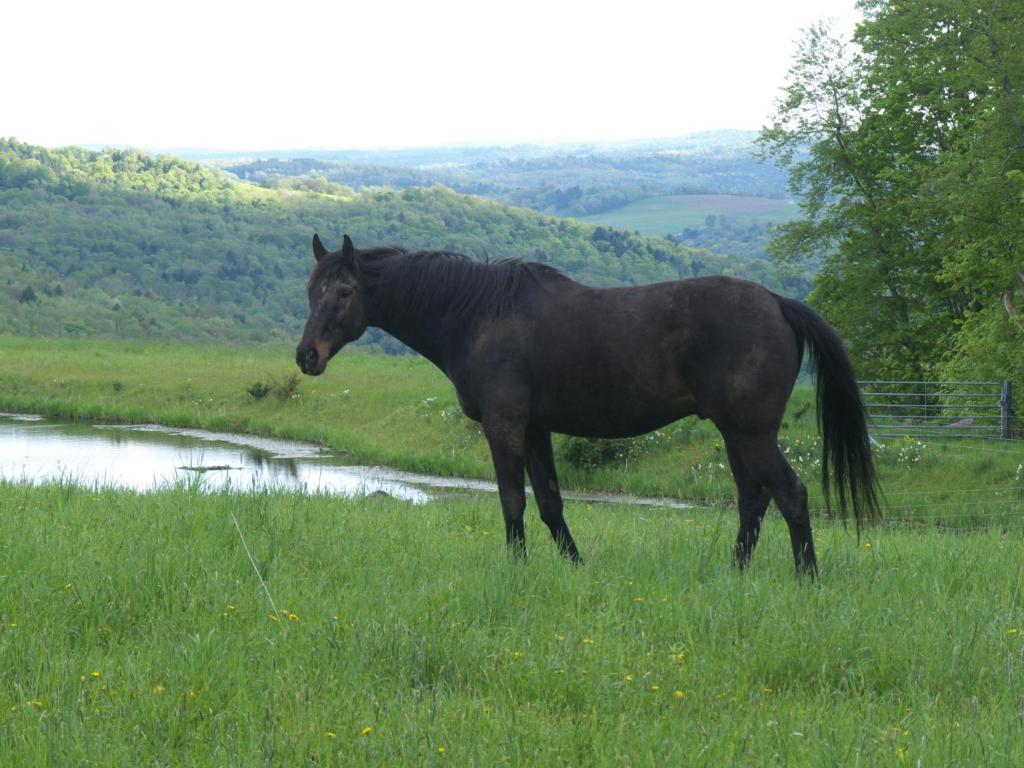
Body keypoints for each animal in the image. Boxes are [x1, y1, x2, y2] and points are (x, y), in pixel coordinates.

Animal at [296, 236, 880, 577]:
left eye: (343, 292)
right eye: (309, 290)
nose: (307, 356)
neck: (478, 314)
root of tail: (778, 303)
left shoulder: (505, 426)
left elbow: (512, 501)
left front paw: (518, 570)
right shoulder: (535, 430)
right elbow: (551, 503)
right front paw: (574, 566)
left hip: (751, 433)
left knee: (791, 495)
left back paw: (807, 578)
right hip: (735, 434)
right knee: (753, 501)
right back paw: (733, 572)